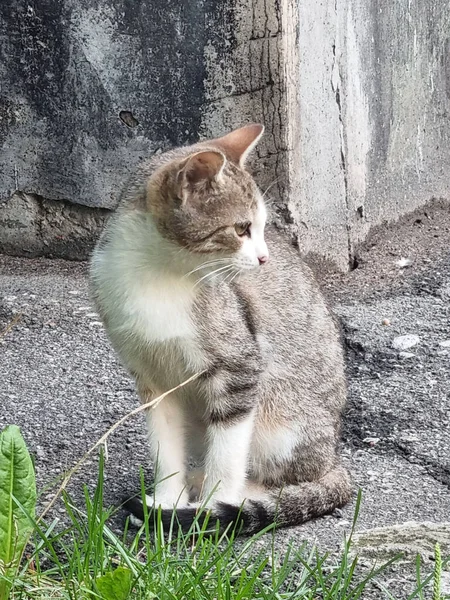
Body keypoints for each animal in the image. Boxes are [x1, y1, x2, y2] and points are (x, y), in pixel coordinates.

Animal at [89, 124, 352, 532]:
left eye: (262, 228)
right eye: (242, 229)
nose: (264, 258)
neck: (158, 276)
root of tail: (333, 456)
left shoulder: (239, 367)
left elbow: (228, 450)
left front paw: (213, 507)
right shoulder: (152, 377)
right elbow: (164, 446)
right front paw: (167, 500)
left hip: (284, 422)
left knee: (283, 476)